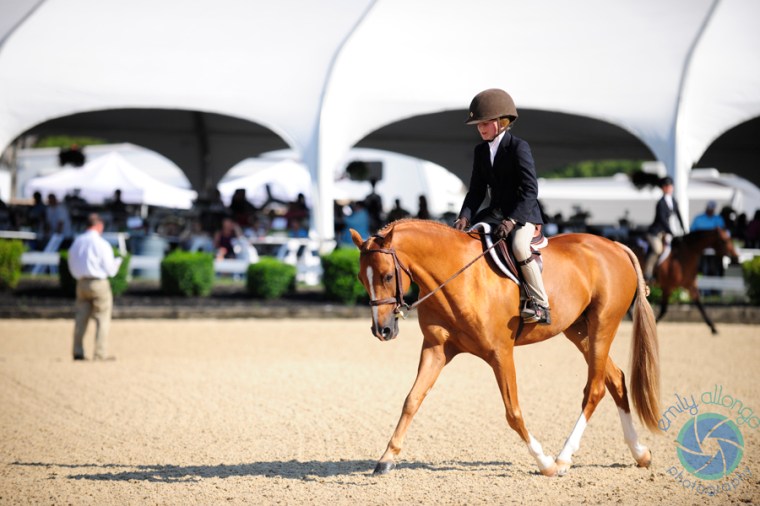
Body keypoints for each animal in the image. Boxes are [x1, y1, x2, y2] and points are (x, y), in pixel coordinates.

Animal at [350, 219, 660, 477]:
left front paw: (545, 463)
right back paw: (640, 453)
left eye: (387, 276)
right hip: (579, 332)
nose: (382, 330)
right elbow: (411, 400)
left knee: (594, 390)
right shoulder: (436, 350)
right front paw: (386, 458)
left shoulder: (501, 353)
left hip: (602, 327)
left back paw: (562, 458)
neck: (459, 277)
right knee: (616, 380)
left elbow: (513, 412)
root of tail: (615, 246)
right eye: (362, 279)